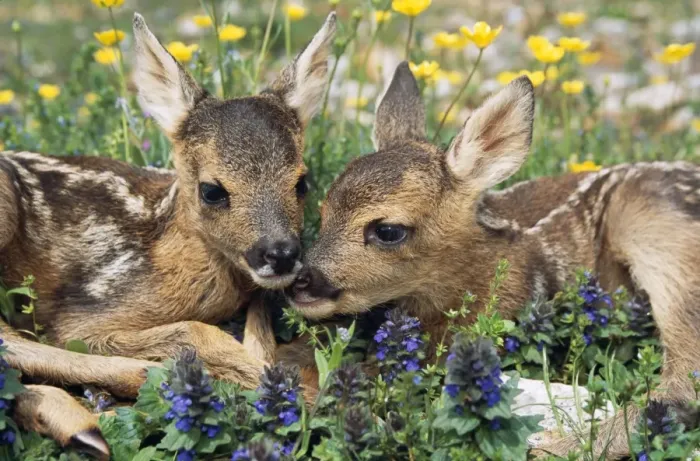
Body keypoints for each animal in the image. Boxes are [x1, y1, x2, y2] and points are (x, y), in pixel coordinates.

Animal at [0, 11, 336, 457]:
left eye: (302, 182)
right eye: (212, 190)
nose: (280, 254)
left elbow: (259, 312)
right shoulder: (81, 316)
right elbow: (192, 331)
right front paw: (275, 383)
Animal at [283, 61, 700, 459]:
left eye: (387, 230)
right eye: (322, 209)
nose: (300, 282)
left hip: (656, 233)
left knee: (682, 383)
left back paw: (555, 446)